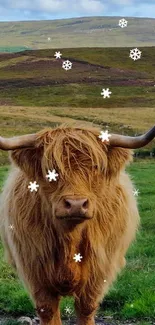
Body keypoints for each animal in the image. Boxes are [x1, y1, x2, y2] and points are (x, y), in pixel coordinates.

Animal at [0, 124, 154, 324]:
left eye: (96, 167)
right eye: (51, 170)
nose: (76, 204)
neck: (70, 237)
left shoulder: (98, 273)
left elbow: (86, 308)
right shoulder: (34, 271)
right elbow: (47, 310)